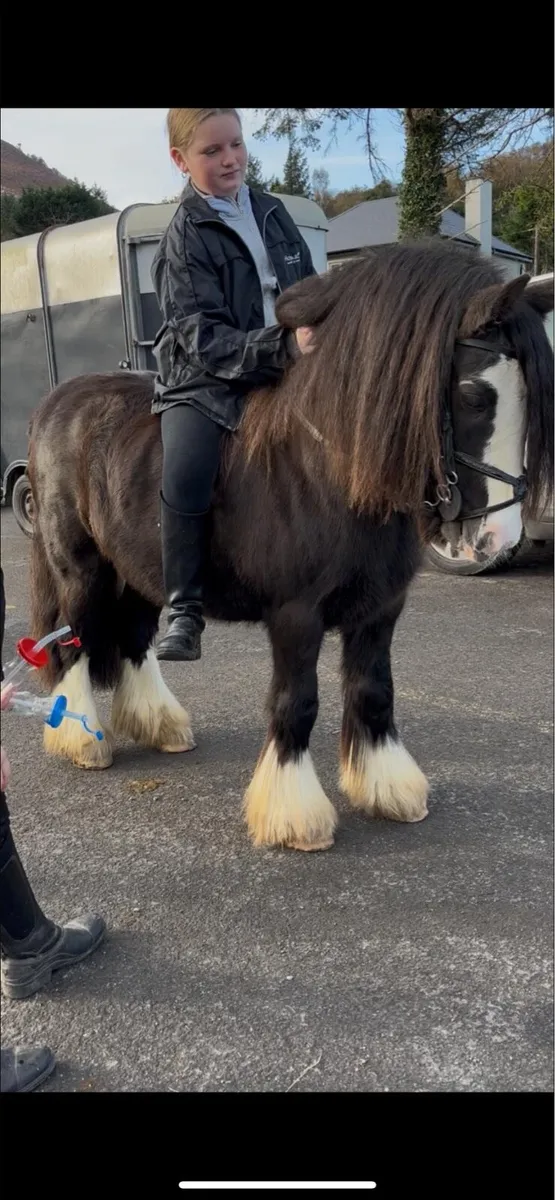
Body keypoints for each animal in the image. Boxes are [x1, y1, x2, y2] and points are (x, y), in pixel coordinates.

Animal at [26, 240, 554, 853]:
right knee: (75, 642)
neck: (329, 469)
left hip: (136, 569)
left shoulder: (380, 610)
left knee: (133, 637)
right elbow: (297, 702)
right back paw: (83, 742)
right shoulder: (295, 616)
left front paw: (388, 788)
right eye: (474, 396)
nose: (498, 537)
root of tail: (55, 404)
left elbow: (375, 691)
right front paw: (295, 815)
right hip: (79, 566)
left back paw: (161, 724)